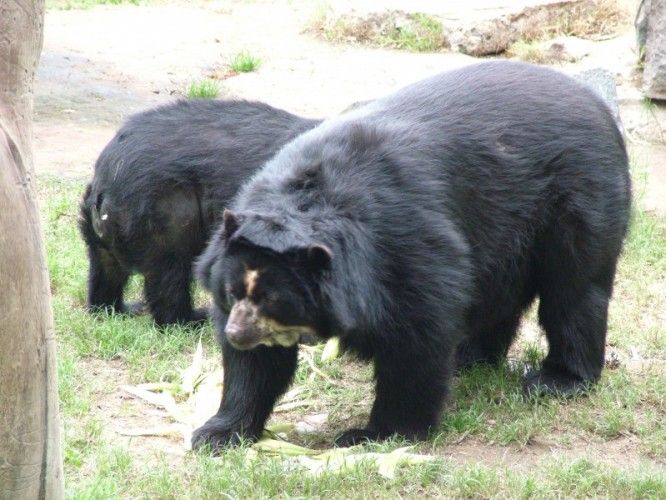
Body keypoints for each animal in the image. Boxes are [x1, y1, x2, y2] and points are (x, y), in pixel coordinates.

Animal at [79, 99, 322, 326]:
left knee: (106, 268)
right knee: (169, 270)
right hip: (166, 208)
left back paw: (116, 309)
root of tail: (109, 171)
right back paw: (190, 319)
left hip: (102, 223)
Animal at [191, 60, 628, 452]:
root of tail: (594, 100)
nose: (237, 334)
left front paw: (375, 434)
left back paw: (558, 380)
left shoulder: (405, 250)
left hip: (579, 199)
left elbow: (416, 337)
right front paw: (217, 434)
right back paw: (469, 356)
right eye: (232, 293)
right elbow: (258, 369)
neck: (309, 200)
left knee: (575, 290)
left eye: (273, 299)